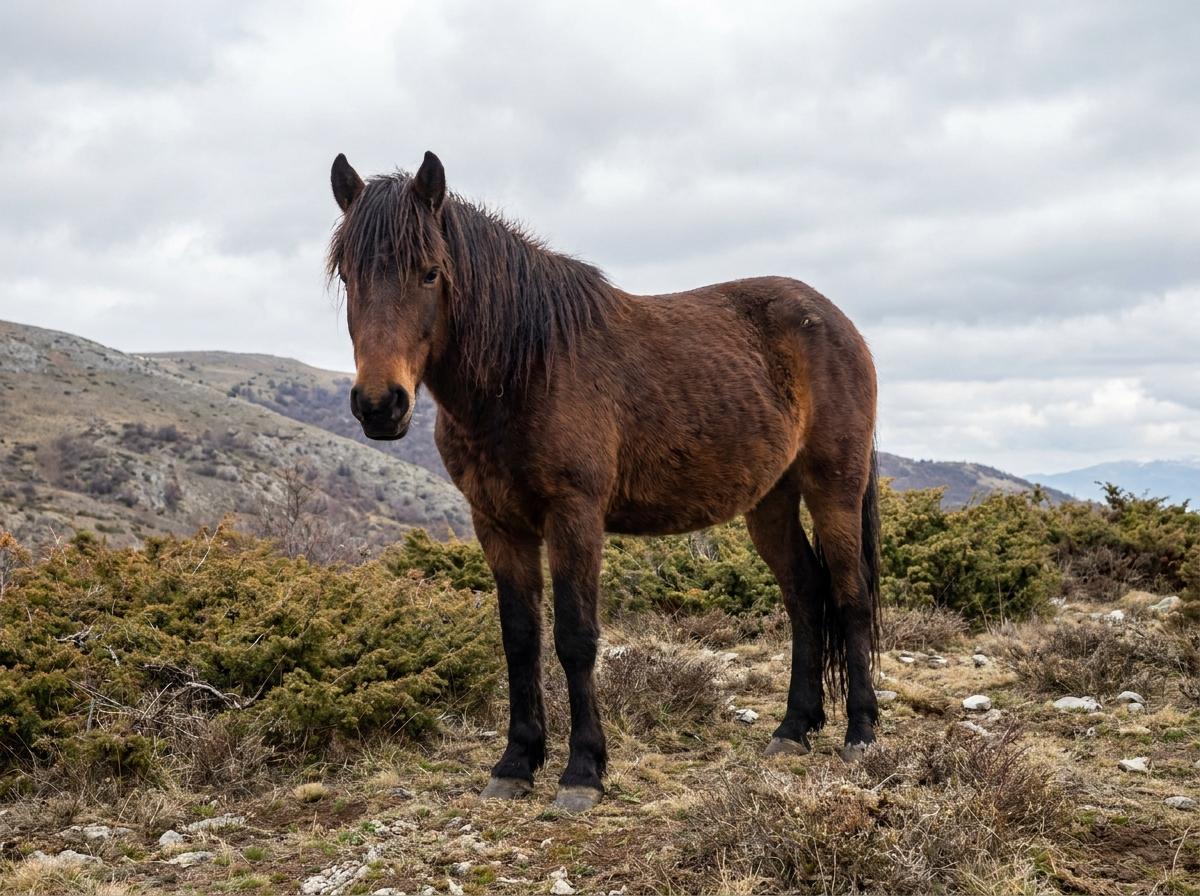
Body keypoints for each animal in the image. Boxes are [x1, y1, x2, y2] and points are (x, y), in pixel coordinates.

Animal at [326, 150, 881, 812]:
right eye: (348, 276)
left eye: (431, 273)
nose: (379, 405)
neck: (528, 368)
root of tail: (837, 321)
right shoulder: (497, 523)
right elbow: (520, 639)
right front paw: (515, 764)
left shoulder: (575, 516)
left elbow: (575, 637)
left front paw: (582, 771)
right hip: (770, 501)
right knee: (804, 595)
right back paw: (793, 729)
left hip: (834, 490)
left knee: (849, 595)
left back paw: (861, 733)